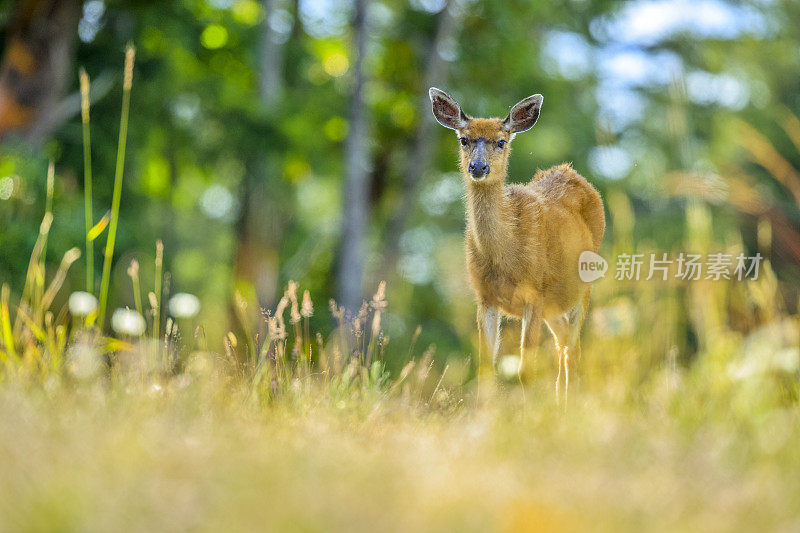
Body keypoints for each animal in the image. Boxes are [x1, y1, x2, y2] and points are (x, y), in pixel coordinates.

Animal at [428, 86, 604, 400]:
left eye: (501, 141)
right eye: (464, 139)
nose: (478, 166)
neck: (503, 257)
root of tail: (572, 172)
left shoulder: (534, 292)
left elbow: (525, 370)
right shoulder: (484, 296)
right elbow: (485, 367)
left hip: (583, 285)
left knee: (573, 348)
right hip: (554, 304)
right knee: (563, 343)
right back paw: (560, 399)